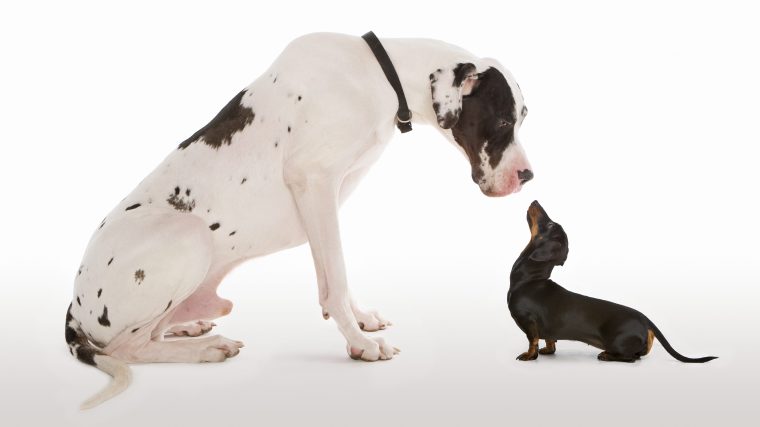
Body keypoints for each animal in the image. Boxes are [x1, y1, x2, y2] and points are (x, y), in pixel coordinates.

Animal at [65, 32, 532, 408]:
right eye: (503, 120)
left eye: (522, 119)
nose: (528, 175)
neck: (376, 76)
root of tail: (74, 304)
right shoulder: (316, 182)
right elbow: (336, 278)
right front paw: (361, 343)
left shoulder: (326, 197)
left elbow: (333, 277)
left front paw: (360, 320)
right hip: (188, 236)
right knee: (127, 347)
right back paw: (207, 348)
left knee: (151, 333)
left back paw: (190, 327)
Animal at [508, 202, 716, 362]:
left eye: (550, 224)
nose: (535, 201)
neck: (529, 279)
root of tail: (645, 319)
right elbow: (550, 340)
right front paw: (547, 351)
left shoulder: (528, 322)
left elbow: (533, 341)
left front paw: (529, 356)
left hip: (617, 341)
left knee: (631, 358)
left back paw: (606, 355)